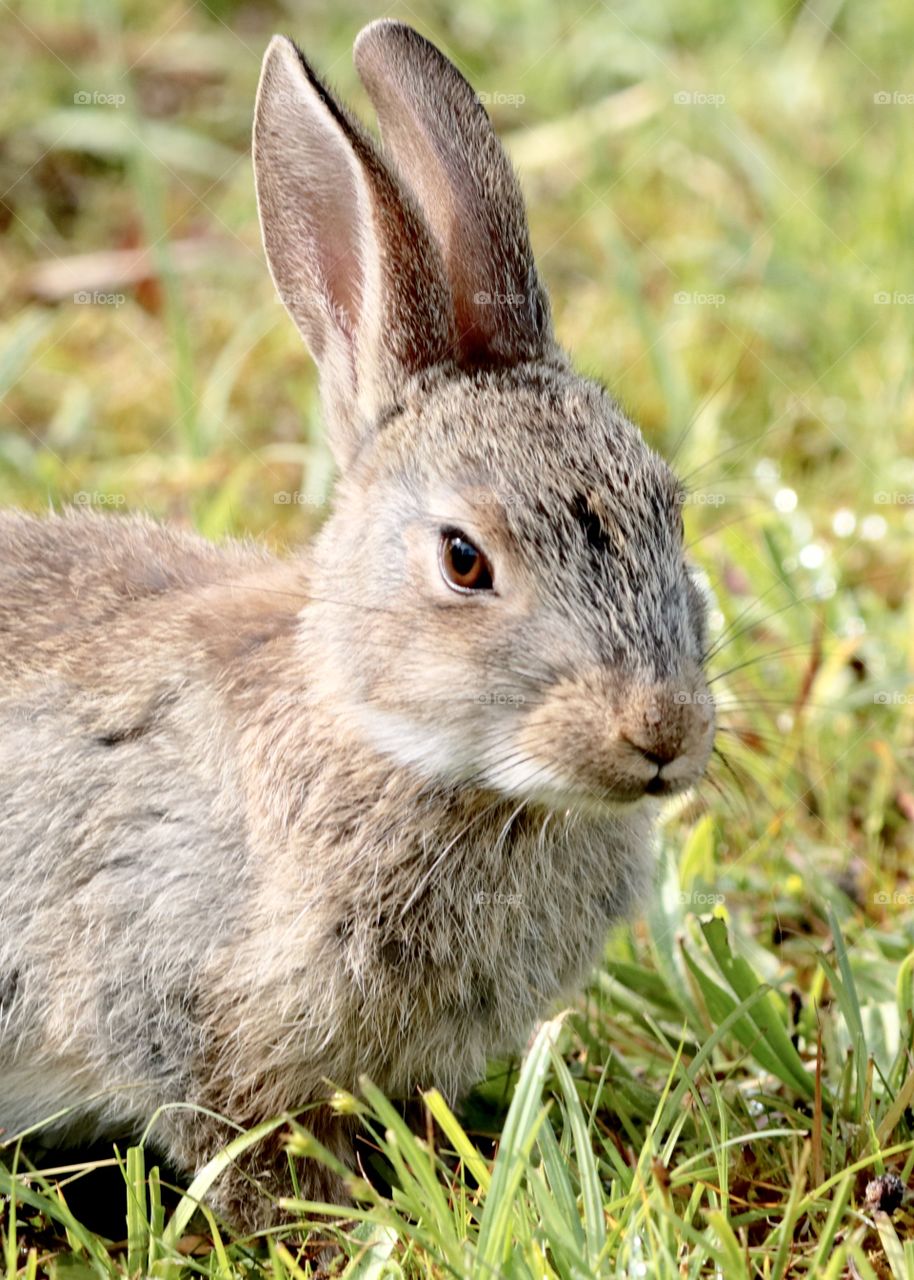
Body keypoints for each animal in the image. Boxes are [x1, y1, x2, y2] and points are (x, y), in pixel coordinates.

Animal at [0, 21, 715, 1231]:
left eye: (669, 510)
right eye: (464, 560)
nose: (661, 731)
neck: (384, 736)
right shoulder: (172, 999)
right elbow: (236, 1146)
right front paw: (333, 1229)